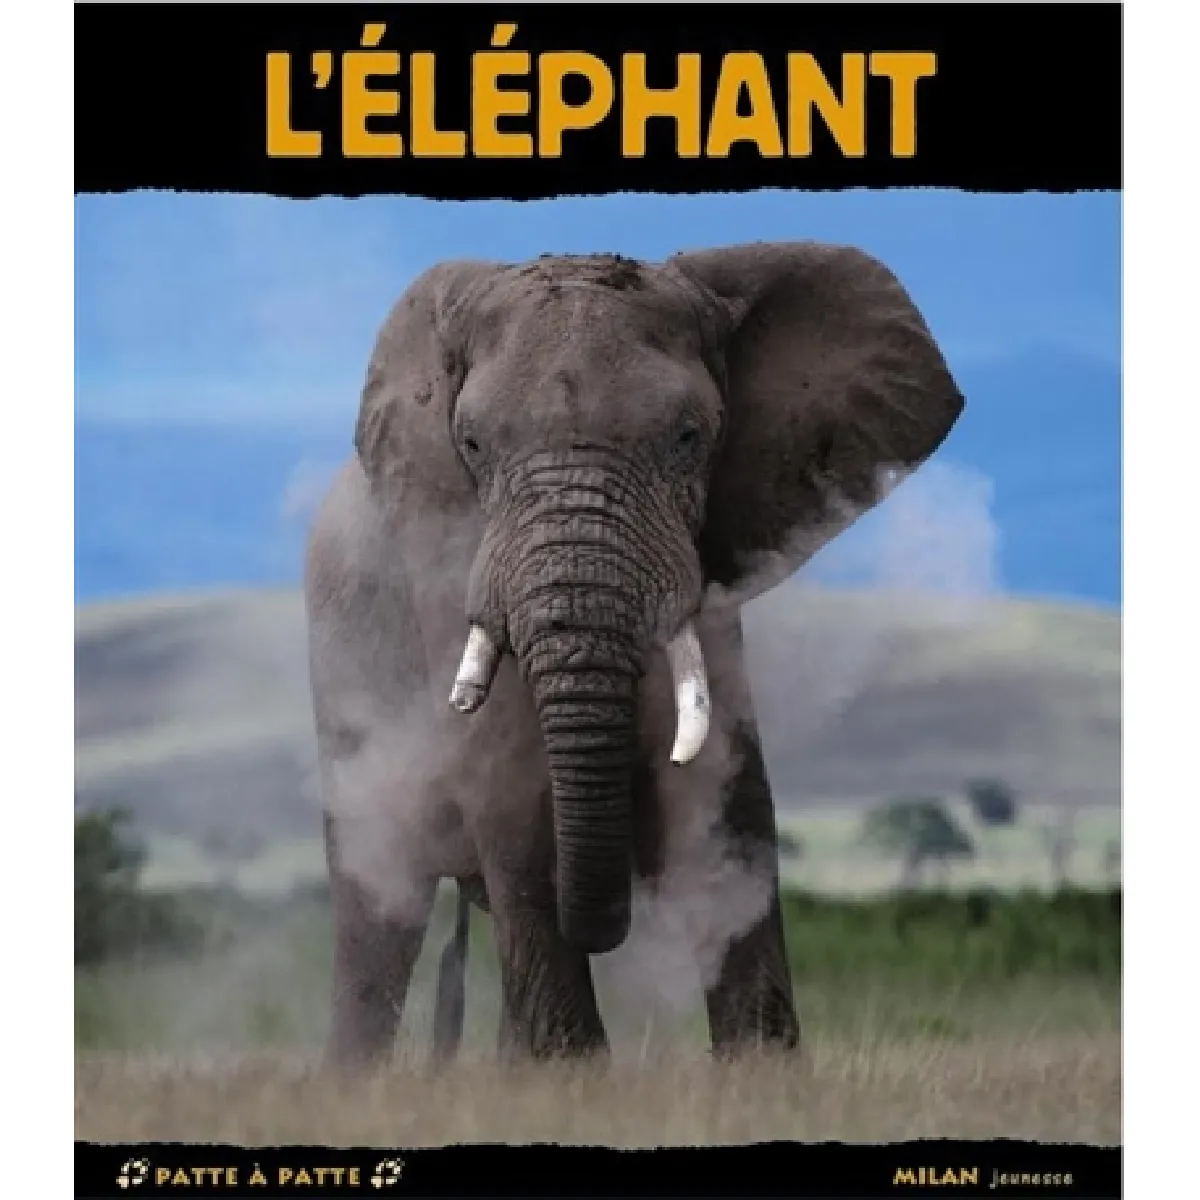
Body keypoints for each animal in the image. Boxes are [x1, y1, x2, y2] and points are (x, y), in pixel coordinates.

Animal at [304, 241, 964, 1070]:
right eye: (473, 446)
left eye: (688, 438)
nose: (608, 925)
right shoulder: (450, 566)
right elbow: (508, 788)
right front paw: (567, 1074)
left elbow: (729, 796)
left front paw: (761, 1070)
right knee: (379, 904)